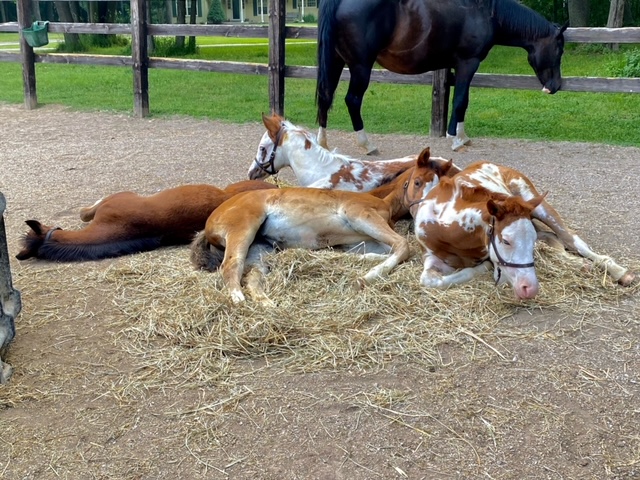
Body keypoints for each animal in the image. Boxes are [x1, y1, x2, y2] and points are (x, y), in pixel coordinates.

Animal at [314, 0, 564, 152]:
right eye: (559, 49)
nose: (556, 86)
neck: (485, 12)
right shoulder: (467, 63)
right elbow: (460, 101)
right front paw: (456, 140)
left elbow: (461, 101)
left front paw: (460, 135)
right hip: (360, 66)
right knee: (352, 101)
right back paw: (367, 144)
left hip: (335, 61)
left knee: (326, 96)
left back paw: (323, 143)